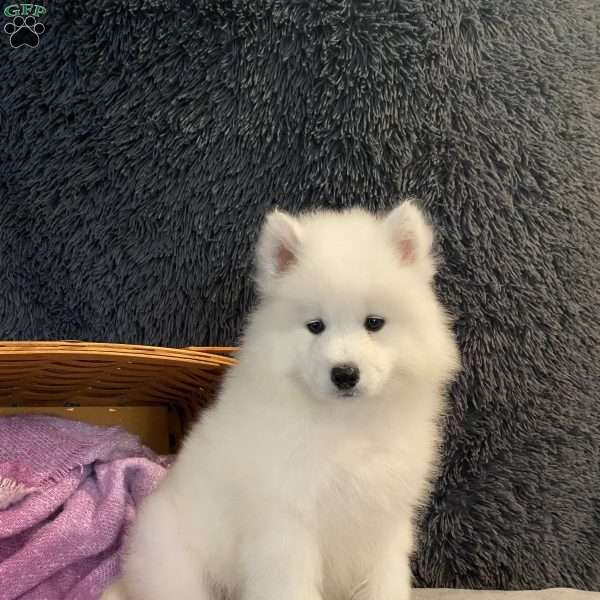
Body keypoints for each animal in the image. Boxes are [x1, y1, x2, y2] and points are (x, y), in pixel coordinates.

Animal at [103, 202, 460, 600]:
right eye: (315, 326)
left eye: (374, 322)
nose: (344, 374)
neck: (346, 425)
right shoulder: (287, 528)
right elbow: (291, 587)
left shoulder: (384, 523)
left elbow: (386, 584)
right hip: (178, 571)